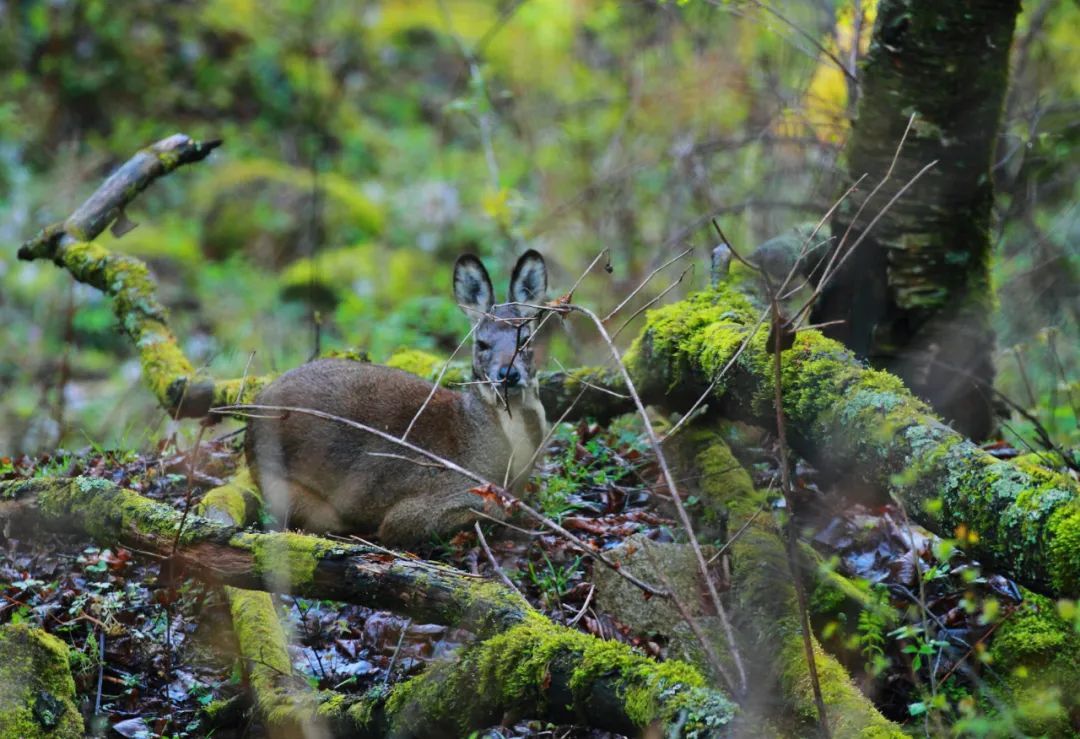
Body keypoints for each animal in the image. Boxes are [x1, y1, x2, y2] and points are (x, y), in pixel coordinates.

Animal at [245, 250, 548, 544]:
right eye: (482, 344)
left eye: (525, 340)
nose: (507, 374)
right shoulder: (426, 501)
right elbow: (490, 511)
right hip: (284, 485)